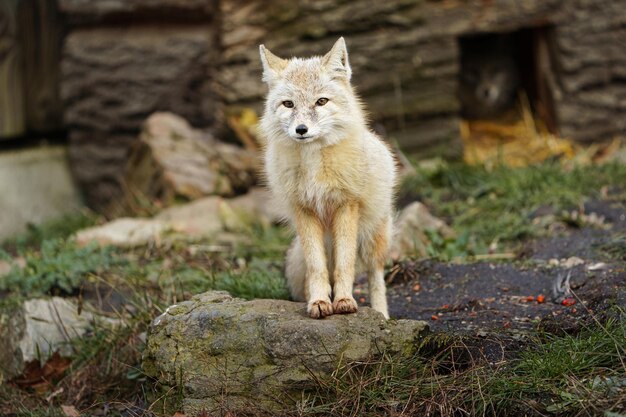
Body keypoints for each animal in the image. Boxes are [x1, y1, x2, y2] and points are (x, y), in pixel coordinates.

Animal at [258, 38, 394, 318]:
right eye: (288, 104)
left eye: (321, 101)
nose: (301, 130)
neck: (313, 168)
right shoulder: (304, 210)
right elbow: (317, 267)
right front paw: (320, 301)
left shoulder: (346, 205)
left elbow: (345, 264)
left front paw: (344, 301)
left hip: (374, 239)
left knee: (375, 276)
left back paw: (382, 315)